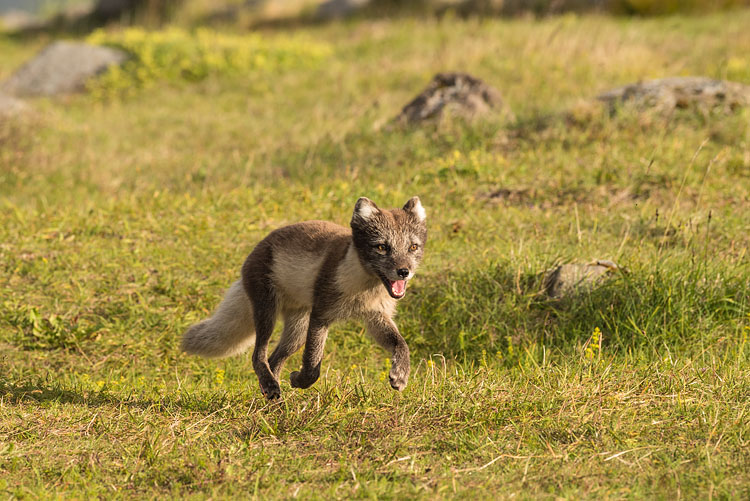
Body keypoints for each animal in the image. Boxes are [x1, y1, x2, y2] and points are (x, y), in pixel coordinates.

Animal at [181, 195, 428, 398]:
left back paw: (273, 398)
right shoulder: (321, 314)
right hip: (268, 314)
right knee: (258, 356)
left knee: (273, 360)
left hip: (297, 332)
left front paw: (400, 374)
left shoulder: (376, 316)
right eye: (382, 247)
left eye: (413, 247)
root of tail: (256, 249)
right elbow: (312, 365)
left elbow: (401, 344)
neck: (364, 290)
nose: (404, 272)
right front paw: (299, 380)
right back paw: (271, 387)